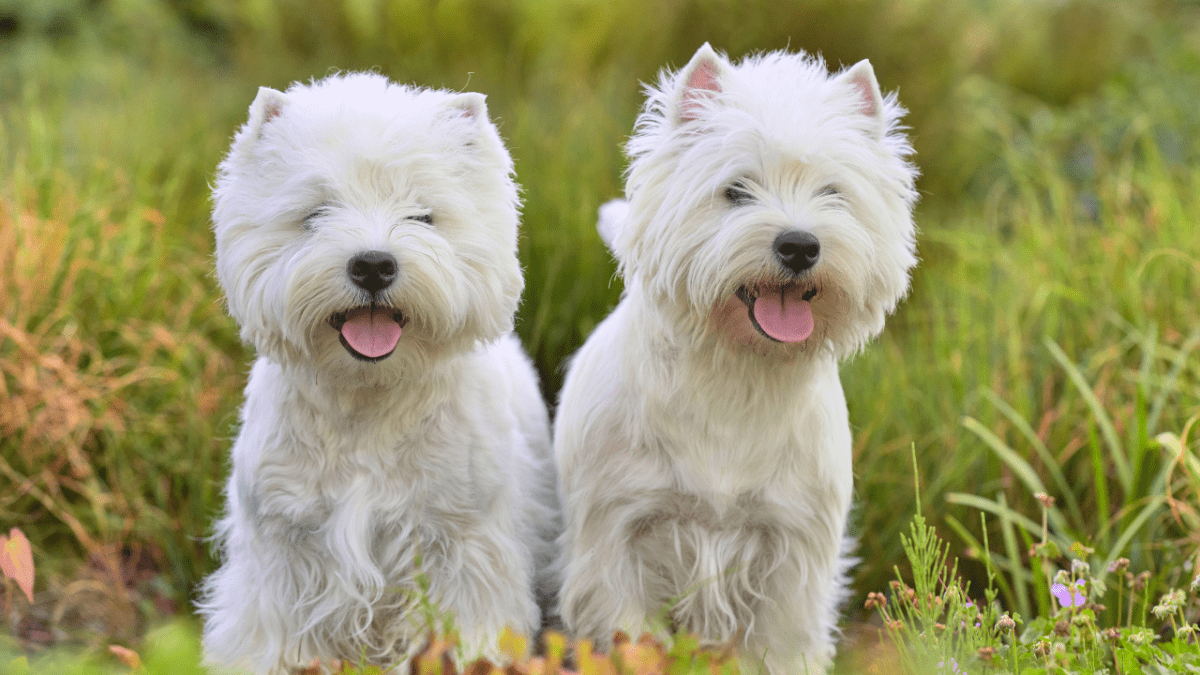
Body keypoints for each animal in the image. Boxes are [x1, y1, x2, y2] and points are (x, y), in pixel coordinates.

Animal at [199, 73, 554, 672]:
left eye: (423, 215)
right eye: (316, 213)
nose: (372, 265)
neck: (367, 401)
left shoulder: (461, 545)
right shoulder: (283, 553)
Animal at [552, 44, 916, 667]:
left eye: (833, 192)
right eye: (735, 190)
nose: (799, 246)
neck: (738, 376)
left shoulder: (793, 546)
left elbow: (781, 647)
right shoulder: (616, 534)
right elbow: (631, 637)